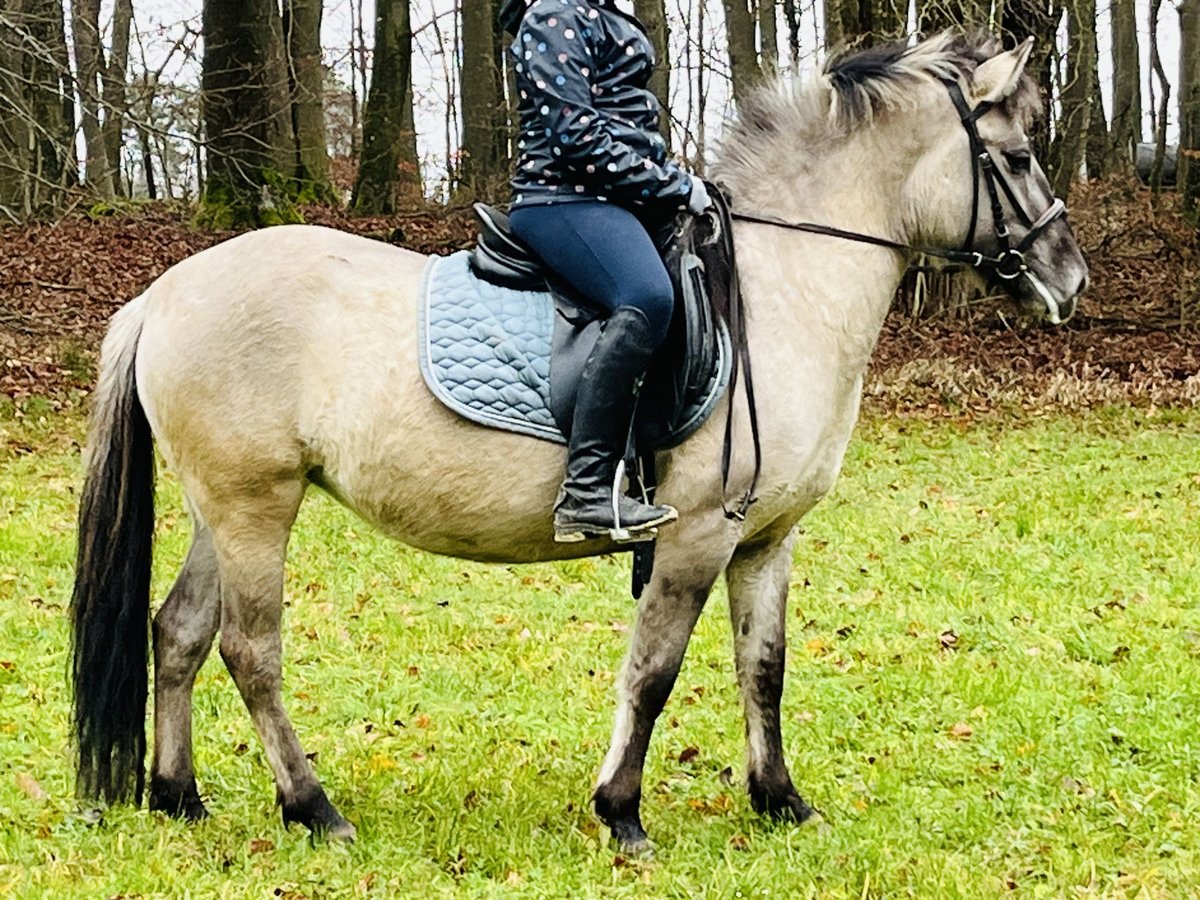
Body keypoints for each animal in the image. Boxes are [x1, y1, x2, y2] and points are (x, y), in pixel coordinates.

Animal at [72, 33, 1089, 854]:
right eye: (1018, 154)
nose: (1068, 279)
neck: (780, 290)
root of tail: (162, 294)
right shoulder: (696, 536)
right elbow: (654, 671)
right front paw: (622, 812)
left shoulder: (766, 540)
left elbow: (763, 669)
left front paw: (780, 802)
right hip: (255, 508)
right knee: (251, 650)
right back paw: (313, 809)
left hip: (224, 508)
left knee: (179, 632)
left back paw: (178, 796)